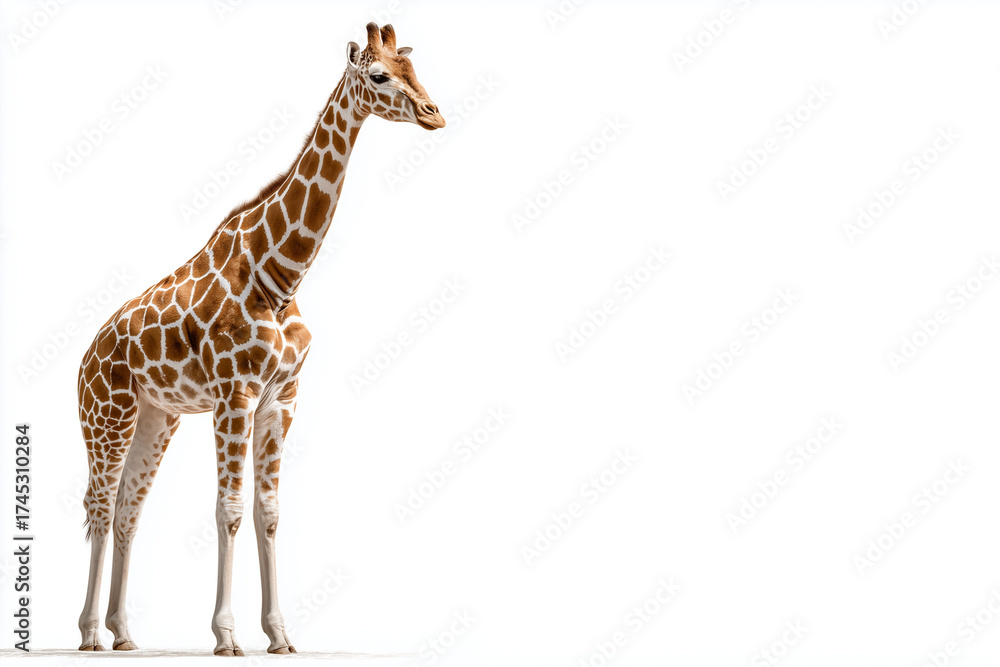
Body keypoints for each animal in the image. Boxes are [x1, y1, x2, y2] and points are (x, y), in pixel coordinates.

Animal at [76, 23, 444, 656]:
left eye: (414, 69)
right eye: (379, 76)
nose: (433, 113)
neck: (281, 275)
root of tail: (82, 359)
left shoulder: (281, 399)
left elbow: (268, 511)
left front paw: (280, 634)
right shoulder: (235, 396)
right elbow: (227, 508)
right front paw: (226, 636)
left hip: (156, 417)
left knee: (127, 508)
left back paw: (124, 633)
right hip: (108, 414)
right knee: (98, 506)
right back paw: (90, 633)